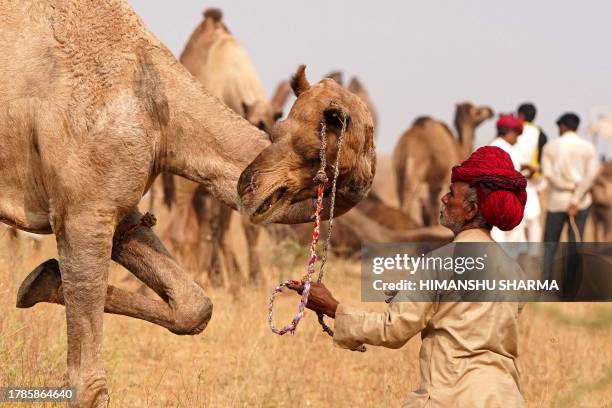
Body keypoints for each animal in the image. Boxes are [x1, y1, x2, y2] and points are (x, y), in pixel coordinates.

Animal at [2, 2, 376, 404]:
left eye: (308, 149)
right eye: (277, 135)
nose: (249, 185)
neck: (158, 109)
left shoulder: (115, 202)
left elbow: (195, 307)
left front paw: (39, 282)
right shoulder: (83, 208)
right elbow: (88, 382)